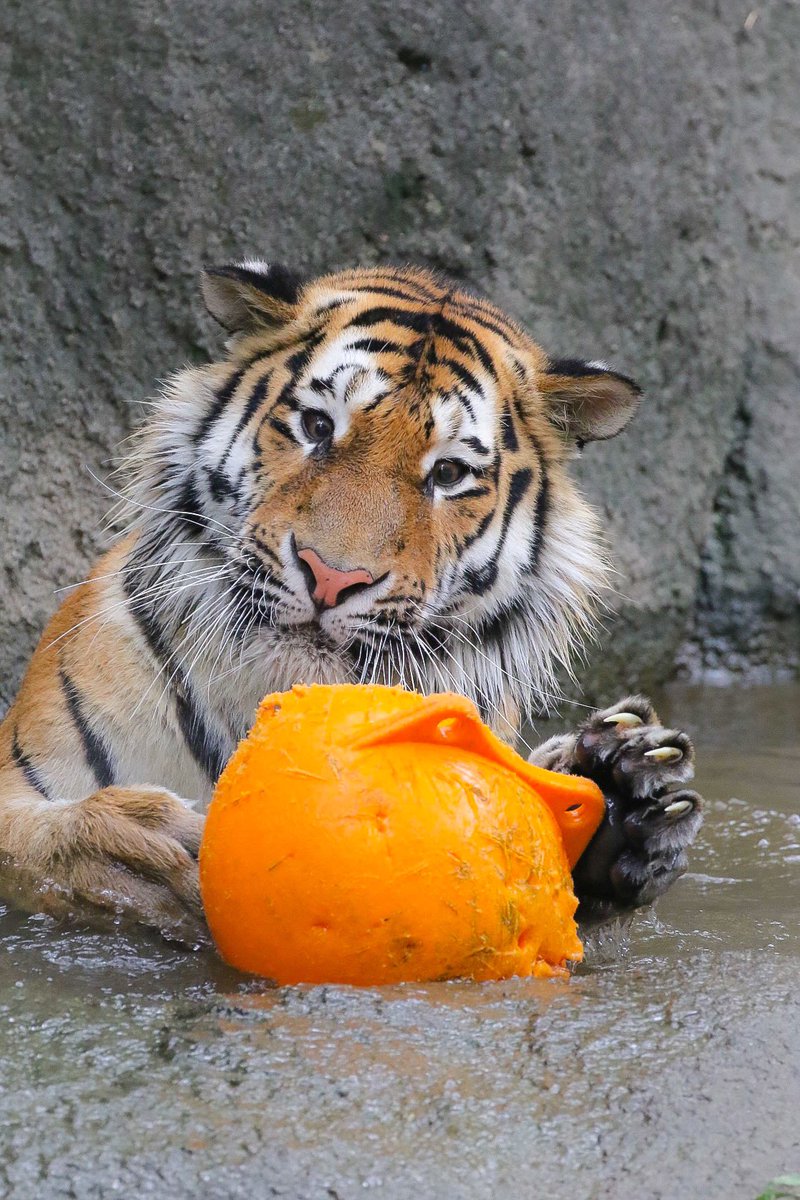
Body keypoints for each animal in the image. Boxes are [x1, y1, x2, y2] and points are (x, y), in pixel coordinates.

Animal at [0, 265, 700, 945]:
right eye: (317, 427)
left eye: (448, 474)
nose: (332, 578)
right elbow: (33, 839)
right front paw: (130, 850)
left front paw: (618, 796)